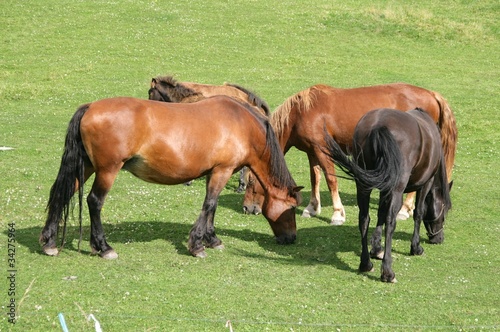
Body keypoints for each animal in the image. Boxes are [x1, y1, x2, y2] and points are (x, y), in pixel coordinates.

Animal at [40, 96, 300, 260]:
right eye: (292, 209)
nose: (291, 239)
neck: (242, 125)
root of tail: (90, 107)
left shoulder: (214, 173)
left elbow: (212, 207)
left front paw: (212, 239)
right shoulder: (222, 171)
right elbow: (209, 205)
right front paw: (197, 246)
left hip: (86, 167)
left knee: (62, 194)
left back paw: (49, 243)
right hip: (106, 170)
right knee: (94, 202)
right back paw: (103, 247)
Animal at [242, 83, 458, 226]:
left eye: (251, 182)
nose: (246, 208)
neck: (301, 112)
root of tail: (431, 94)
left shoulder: (322, 150)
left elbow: (331, 180)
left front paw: (337, 214)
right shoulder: (312, 152)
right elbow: (315, 178)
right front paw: (312, 208)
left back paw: (405, 210)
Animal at [326, 107, 452, 282]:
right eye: (444, 213)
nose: (439, 239)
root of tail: (378, 126)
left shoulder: (384, 188)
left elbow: (380, 213)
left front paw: (376, 248)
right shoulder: (425, 183)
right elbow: (418, 213)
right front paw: (415, 247)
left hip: (364, 185)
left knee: (364, 219)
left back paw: (366, 264)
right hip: (396, 189)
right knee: (391, 221)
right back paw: (387, 272)